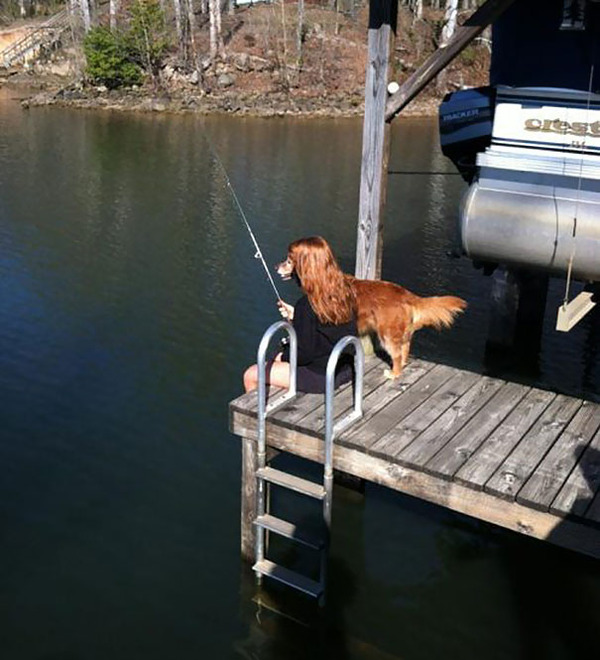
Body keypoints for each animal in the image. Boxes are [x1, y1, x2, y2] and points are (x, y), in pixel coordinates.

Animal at [276, 238, 468, 382]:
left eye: (289, 260)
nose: (275, 267)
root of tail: (406, 294)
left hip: (386, 334)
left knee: (397, 354)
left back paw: (394, 374)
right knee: (405, 348)